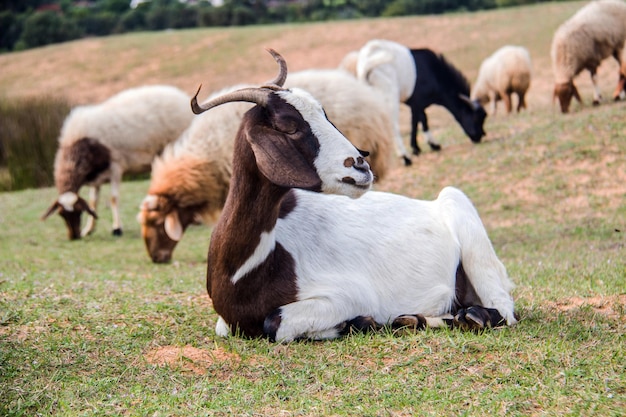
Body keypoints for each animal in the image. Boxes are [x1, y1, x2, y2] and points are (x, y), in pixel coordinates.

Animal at [43, 84, 193, 239]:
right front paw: (88, 229)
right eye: (61, 214)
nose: (74, 237)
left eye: (78, 212)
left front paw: (117, 228)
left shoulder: (115, 166)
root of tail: (181, 95)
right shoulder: (96, 176)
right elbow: (93, 202)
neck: (79, 145)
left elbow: (113, 198)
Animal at [193, 49, 516, 342]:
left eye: (325, 115)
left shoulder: (346, 295)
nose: (361, 165)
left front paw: (359, 322)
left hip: (467, 229)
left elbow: (274, 323)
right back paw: (414, 319)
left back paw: (469, 316)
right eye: (288, 126)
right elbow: (229, 327)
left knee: (503, 313)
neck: (248, 267)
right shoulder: (226, 322)